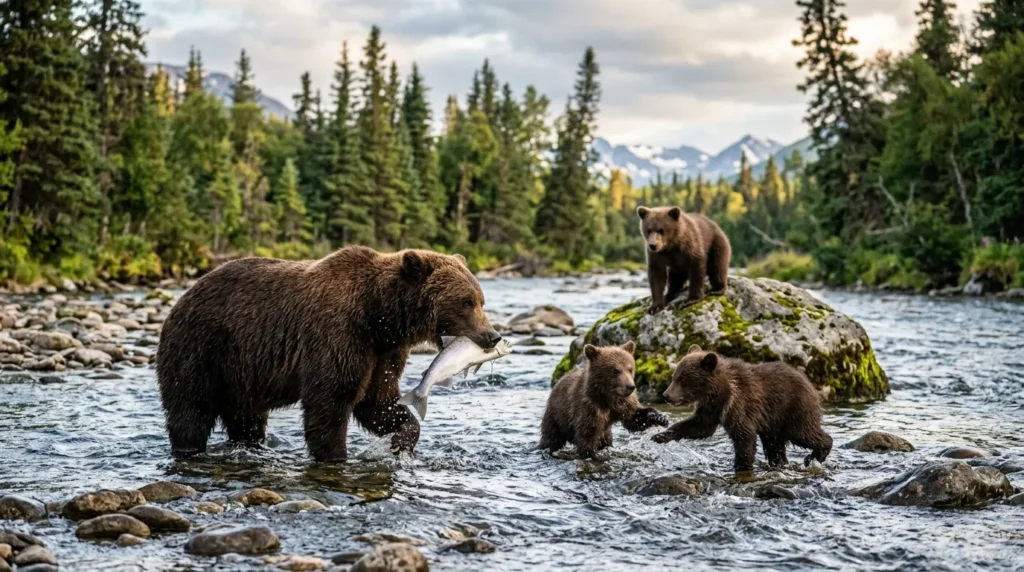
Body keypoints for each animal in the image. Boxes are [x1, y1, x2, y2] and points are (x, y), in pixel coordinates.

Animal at [156, 246, 502, 462]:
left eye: (481, 299)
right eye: (466, 301)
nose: (492, 335)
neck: (379, 316)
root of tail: (183, 296)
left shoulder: (382, 353)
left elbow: (378, 402)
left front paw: (399, 440)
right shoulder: (338, 335)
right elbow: (331, 400)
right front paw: (335, 454)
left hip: (241, 375)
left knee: (246, 419)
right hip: (202, 349)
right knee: (190, 408)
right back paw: (188, 447)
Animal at [538, 342, 669, 458]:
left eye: (630, 368)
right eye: (616, 370)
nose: (631, 386)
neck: (608, 398)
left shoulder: (623, 404)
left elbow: (634, 419)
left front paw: (660, 417)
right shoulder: (588, 408)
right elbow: (587, 435)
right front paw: (591, 454)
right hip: (556, 417)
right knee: (551, 438)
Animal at [651, 345, 832, 473]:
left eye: (683, 380)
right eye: (674, 377)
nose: (667, 395)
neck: (722, 393)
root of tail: (811, 385)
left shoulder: (740, 406)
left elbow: (745, 437)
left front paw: (741, 466)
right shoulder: (712, 409)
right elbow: (699, 427)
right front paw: (661, 435)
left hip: (793, 409)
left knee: (803, 433)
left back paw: (813, 456)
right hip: (773, 423)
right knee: (774, 446)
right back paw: (780, 463)